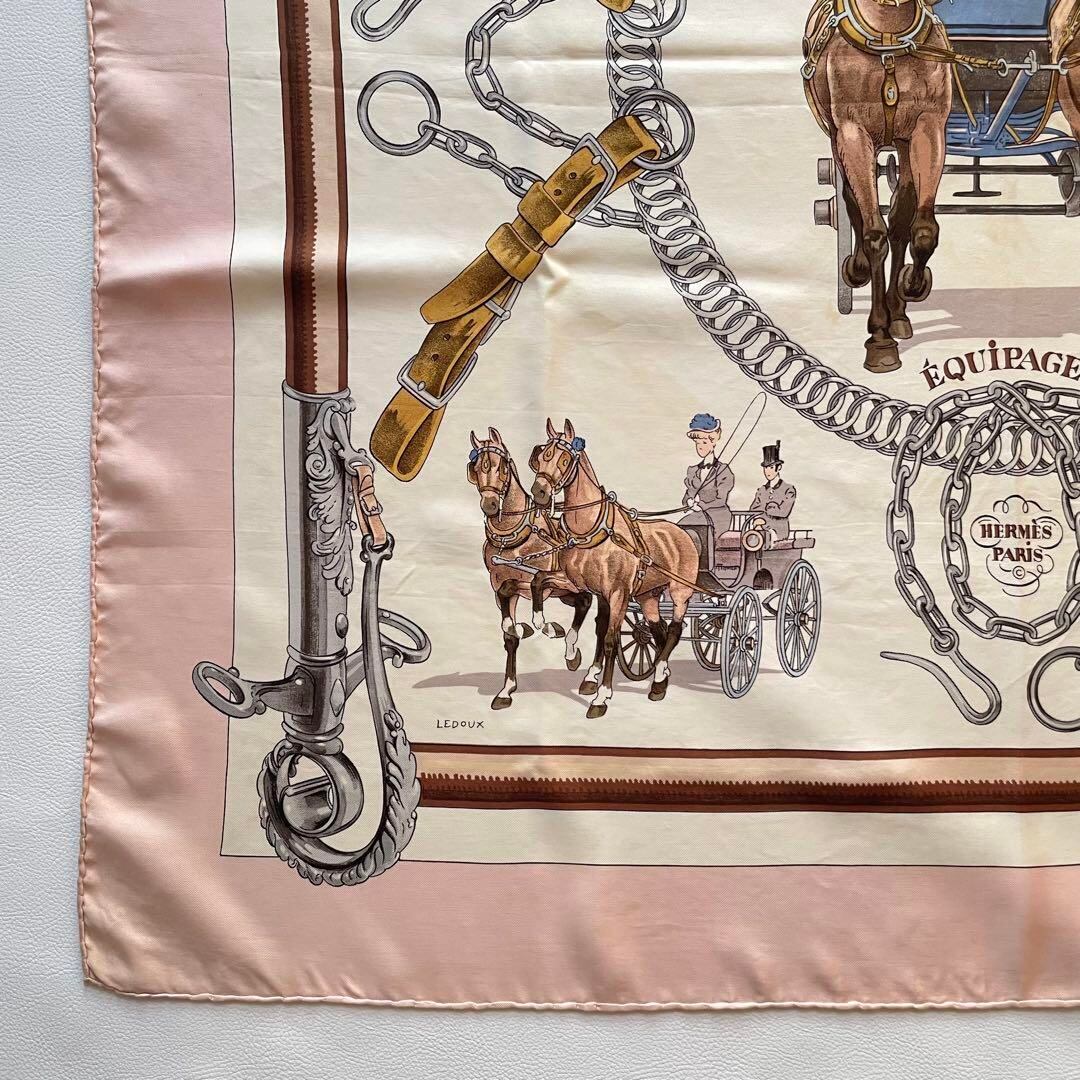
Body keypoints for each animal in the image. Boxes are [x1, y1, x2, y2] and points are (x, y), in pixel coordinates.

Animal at [467, 428, 594, 710]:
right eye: (474, 469)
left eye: (502, 467)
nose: (490, 505)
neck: (513, 540)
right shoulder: (501, 590)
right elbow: (508, 631)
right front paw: (506, 689)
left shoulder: (547, 583)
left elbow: (535, 593)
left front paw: (547, 627)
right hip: (566, 594)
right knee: (582, 602)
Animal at [528, 419, 699, 719]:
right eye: (541, 455)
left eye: (564, 459)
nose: (539, 493)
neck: (592, 529)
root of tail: (682, 532)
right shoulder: (585, 586)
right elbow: (539, 581)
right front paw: (544, 625)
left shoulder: (618, 594)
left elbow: (610, 638)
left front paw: (601, 696)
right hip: (648, 596)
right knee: (659, 631)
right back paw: (660, 679)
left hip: (680, 592)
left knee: (675, 630)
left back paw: (659, 676)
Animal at [804, 0, 952, 374]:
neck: (889, 35)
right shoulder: (851, 133)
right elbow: (872, 232)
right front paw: (880, 340)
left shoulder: (928, 127)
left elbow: (922, 230)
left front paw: (912, 286)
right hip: (838, 139)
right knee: (851, 204)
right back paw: (857, 271)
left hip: (901, 144)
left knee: (900, 219)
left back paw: (898, 313)